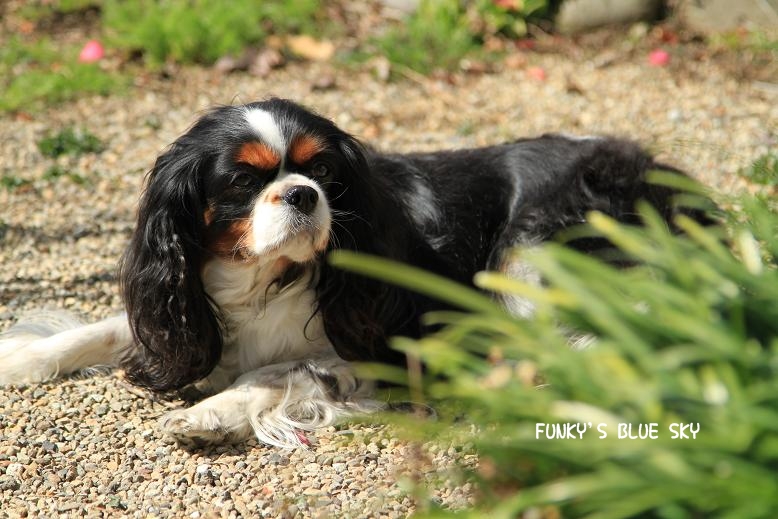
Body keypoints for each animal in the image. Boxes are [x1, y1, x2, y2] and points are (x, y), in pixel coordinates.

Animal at [0, 99, 704, 448]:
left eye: (324, 171)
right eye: (243, 181)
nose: (304, 194)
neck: (261, 282)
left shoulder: (389, 341)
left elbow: (278, 371)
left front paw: (211, 414)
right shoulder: (183, 305)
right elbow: (100, 330)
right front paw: (21, 360)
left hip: (527, 264)